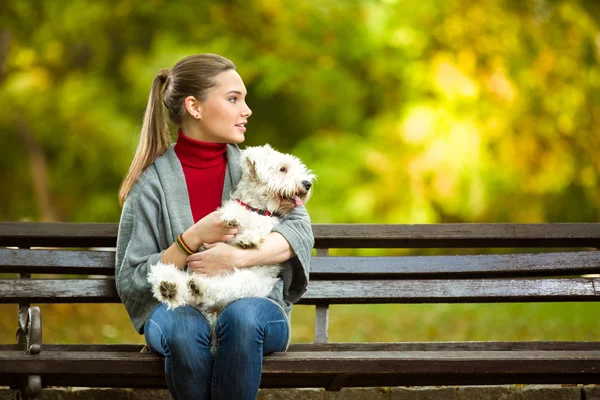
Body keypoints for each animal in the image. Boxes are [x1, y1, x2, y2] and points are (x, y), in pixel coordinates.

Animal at [148, 145, 316, 322]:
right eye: (283, 169)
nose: (307, 184)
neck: (256, 209)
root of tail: (211, 313)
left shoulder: (268, 227)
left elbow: (259, 232)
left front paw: (248, 239)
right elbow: (232, 212)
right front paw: (232, 218)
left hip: (244, 283)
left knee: (216, 291)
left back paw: (196, 287)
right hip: (163, 269)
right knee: (170, 280)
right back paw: (169, 288)